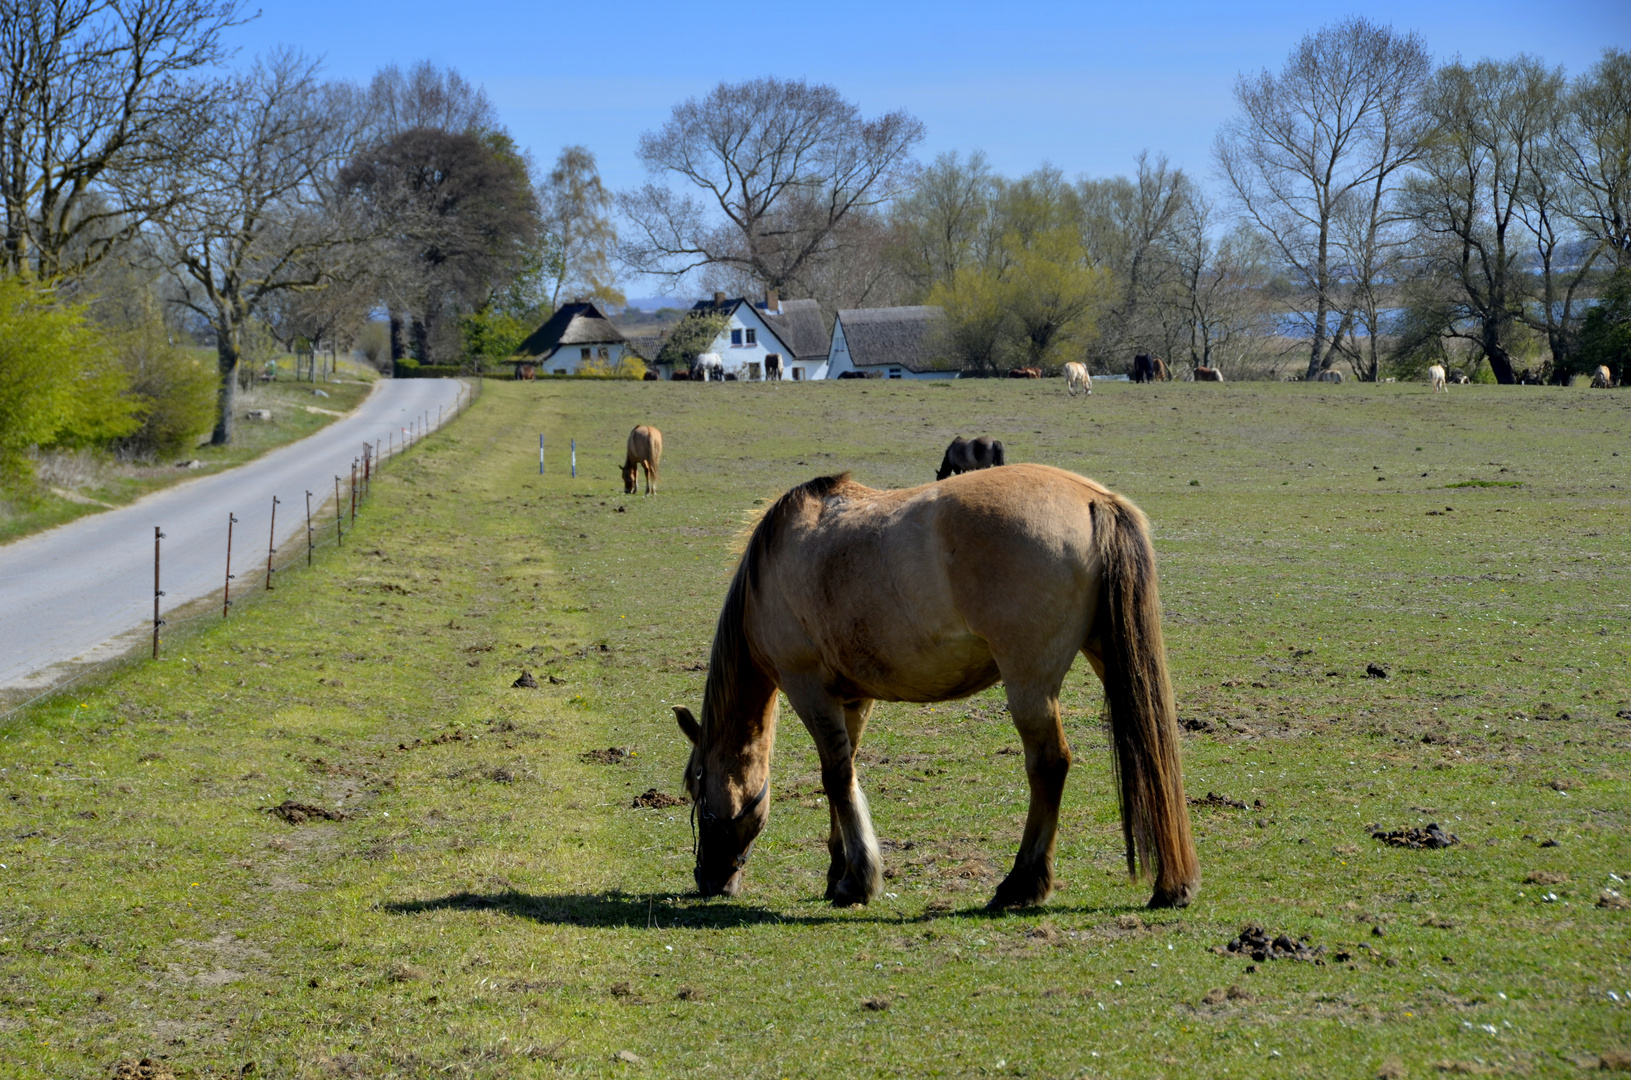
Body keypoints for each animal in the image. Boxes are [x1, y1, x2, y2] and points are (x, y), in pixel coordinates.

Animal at [671, 466, 1200, 913]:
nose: (707, 879)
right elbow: (845, 773)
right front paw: (839, 872)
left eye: (697, 784)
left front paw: (858, 880)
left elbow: (836, 777)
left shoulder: (809, 690)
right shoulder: (852, 698)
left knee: (1049, 765)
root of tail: (1093, 498)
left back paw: (1022, 884)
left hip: (1029, 682)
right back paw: (1172, 883)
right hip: (1109, 657)